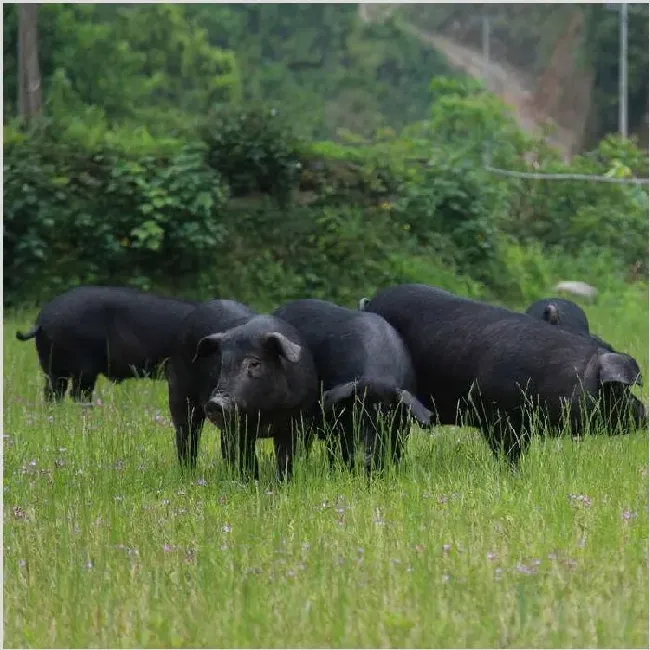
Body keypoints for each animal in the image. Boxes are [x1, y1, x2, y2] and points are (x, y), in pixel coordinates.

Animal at [168, 302, 318, 478]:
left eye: (254, 364)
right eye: (221, 364)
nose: (216, 403)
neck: (268, 411)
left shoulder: (297, 420)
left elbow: (286, 457)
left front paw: (284, 481)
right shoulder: (242, 428)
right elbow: (247, 456)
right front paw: (251, 481)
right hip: (179, 393)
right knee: (186, 435)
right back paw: (187, 473)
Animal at [274, 298, 430, 470]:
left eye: (385, 417)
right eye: (353, 414)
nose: (364, 459)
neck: (378, 377)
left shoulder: (404, 422)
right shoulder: (335, 420)